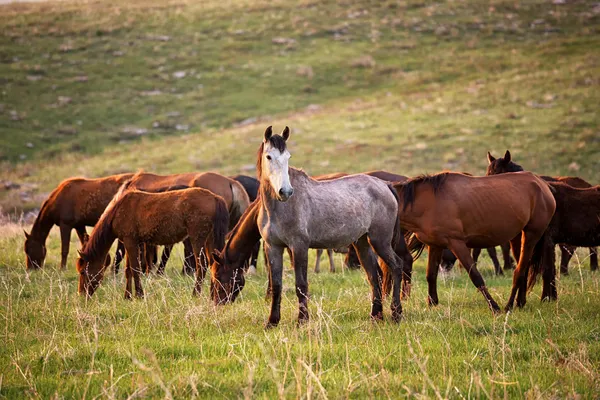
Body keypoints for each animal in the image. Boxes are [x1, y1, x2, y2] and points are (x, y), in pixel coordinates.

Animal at [77, 180, 230, 298]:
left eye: (83, 271)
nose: (81, 294)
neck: (118, 210)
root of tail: (215, 198)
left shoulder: (130, 241)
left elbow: (135, 268)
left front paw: (139, 295)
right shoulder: (132, 242)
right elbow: (128, 270)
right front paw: (127, 296)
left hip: (197, 237)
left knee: (202, 265)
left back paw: (195, 293)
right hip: (210, 239)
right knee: (213, 263)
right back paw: (212, 293)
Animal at [210, 126, 408, 326]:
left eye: (288, 156)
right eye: (269, 156)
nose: (285, 191)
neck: (278, 208)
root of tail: (385, 185)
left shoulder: (299, 247)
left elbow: (301, 284)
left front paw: (302, 320)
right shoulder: (273, 247)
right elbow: (276, 285)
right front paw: (272, 322)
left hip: (380, 241)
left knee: (397, 266)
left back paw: (396, 313)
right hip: (362, 243)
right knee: (374, 276)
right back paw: (376, 316)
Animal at [400, 172, 556, 312]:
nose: (403, 297)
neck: (430, 202)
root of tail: (542, 184)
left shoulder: (457, 244)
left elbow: (476, 276)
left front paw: (494, 307)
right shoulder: (435, 245)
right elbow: (431, 275)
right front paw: (432, 303)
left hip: (531, 235)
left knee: (519, 271)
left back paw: (509, 306)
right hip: (519, 237)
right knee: (524, 268)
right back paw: (520, 303)